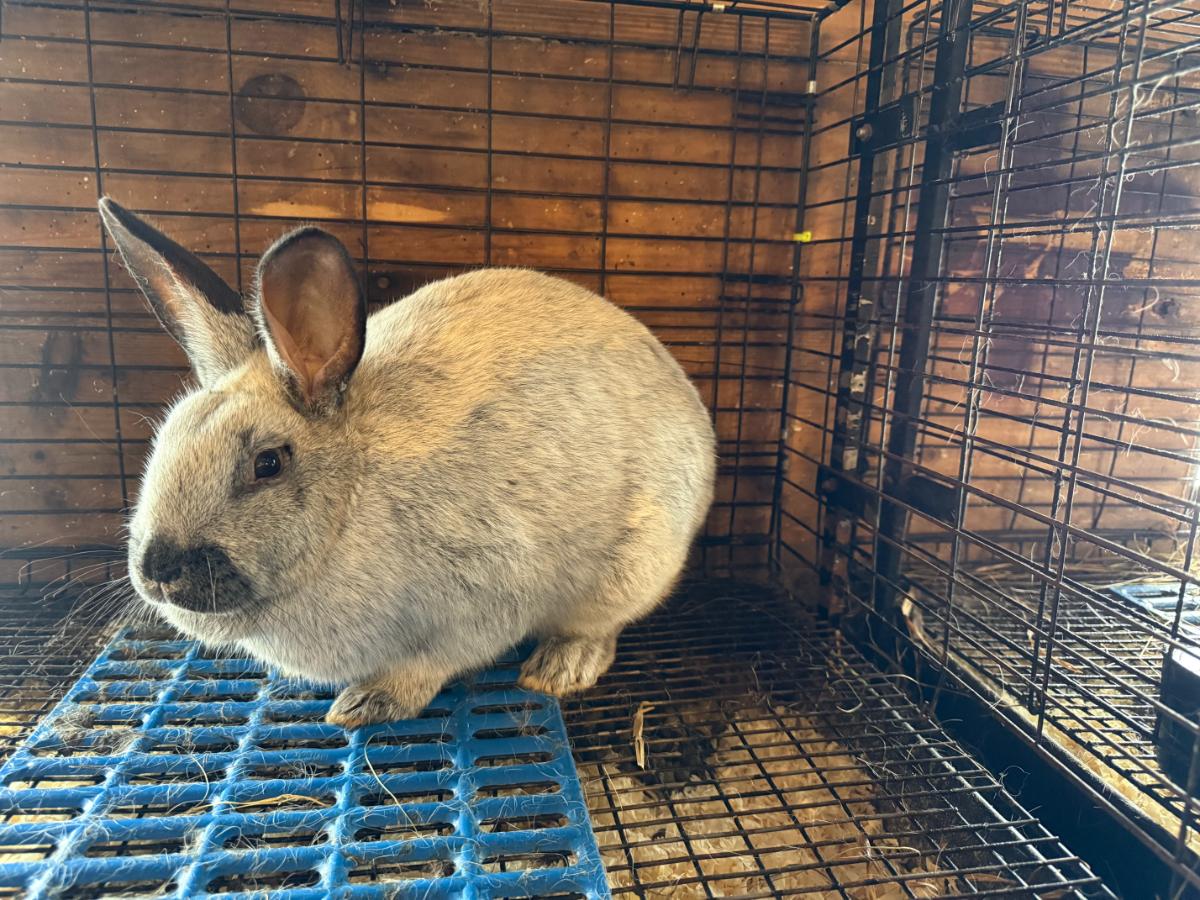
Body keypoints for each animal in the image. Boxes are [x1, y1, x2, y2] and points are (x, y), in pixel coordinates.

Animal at [99, 197, 716, 728]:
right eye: (165, 439)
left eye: (268, 463)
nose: (156, 571)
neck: (348, 508)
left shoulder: (484, 597)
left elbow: (430, 665)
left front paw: (367, 703)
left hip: (633, 566)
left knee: (600, 627)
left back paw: (558, 669)